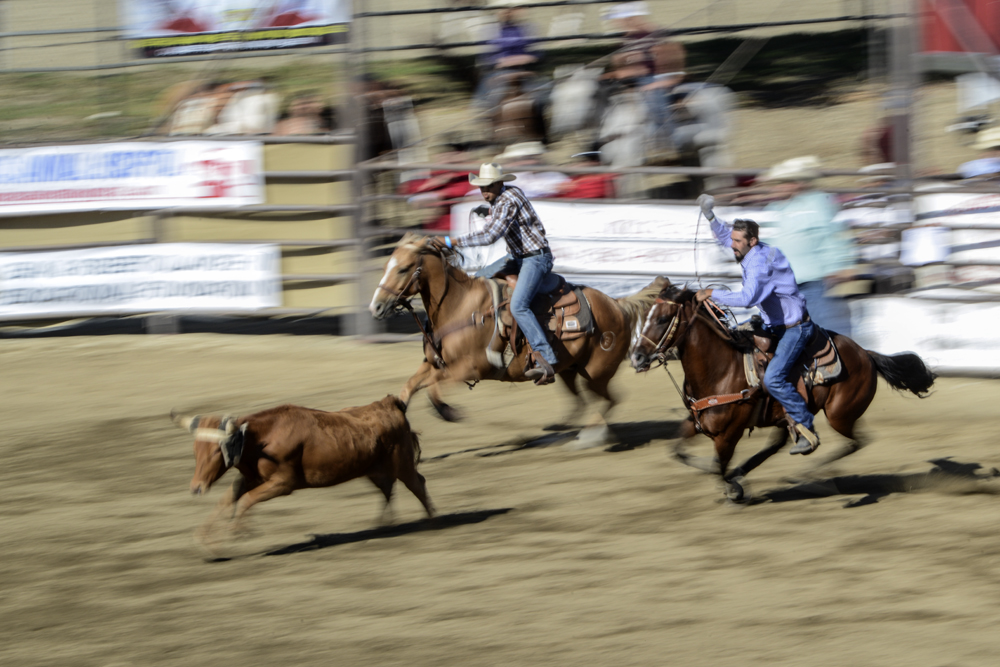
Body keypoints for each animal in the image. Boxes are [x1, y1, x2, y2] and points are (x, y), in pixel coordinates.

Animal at [368, 235, 664, 448]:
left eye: (404, 269)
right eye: (384, 267)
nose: (376, 307)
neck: (460, 307)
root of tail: (617, 304)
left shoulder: (470, 368)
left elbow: (433, 388)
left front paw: (448, 411)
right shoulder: (434, 364)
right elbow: (409, 388)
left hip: (597, 371)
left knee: (609, 400)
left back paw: (590, 437)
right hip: (568, 369)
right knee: (580, 402)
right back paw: (556, 434)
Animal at [628, 282, 932, 500]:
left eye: (663, 318)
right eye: (646, 316)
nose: (636, 357)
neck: (721, 369)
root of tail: (866, 354)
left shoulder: (729, 434)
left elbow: (718, 465)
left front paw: (732, 488)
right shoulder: (696, 421)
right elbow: (678, 451)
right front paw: (729, 479)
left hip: (840, 414)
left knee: (856, 442)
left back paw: (808, 475)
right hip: (786, 415)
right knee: (781, 443)